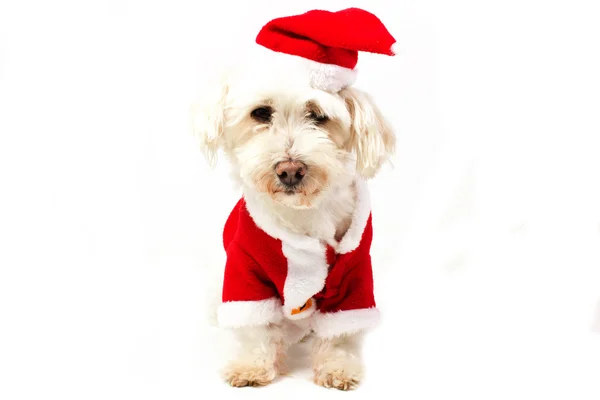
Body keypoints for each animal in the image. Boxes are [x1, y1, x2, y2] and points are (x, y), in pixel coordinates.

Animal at [193, 7, 398, 392]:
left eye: (318, 116)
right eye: (261, 113)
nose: (290, 170)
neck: (302, 216)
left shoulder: (354, 277)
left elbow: (340, 332)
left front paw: (337, 366)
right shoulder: (244, 272)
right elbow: (254, 327)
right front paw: (251, 366)